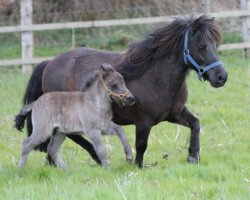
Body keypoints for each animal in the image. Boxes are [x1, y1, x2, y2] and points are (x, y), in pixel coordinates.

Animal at [22, 15, 228, 167]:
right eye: (201, 46)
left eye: (216, 45)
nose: (221, 77)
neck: (157, 78)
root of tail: (50, 63)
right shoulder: (143, 122)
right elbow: (141, 145)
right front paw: (136, 165)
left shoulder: (175, 114)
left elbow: (195, 124)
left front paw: (193, 156)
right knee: (72, 135)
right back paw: (94, 157)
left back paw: (52, 163)